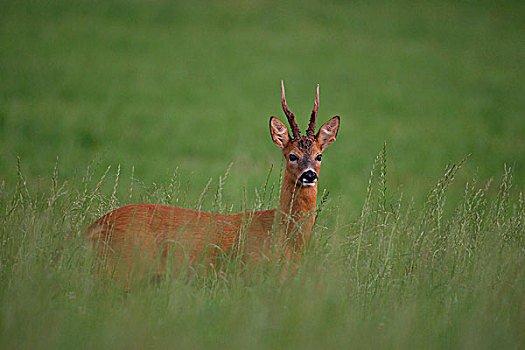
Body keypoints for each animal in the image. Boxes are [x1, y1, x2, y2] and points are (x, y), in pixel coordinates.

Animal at [86, 82, 340, 288]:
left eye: (319, 156)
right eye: (292, 156)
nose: (309, 175)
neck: (285, 236)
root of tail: (92, 228)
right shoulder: (250, 274)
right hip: (120, 267)